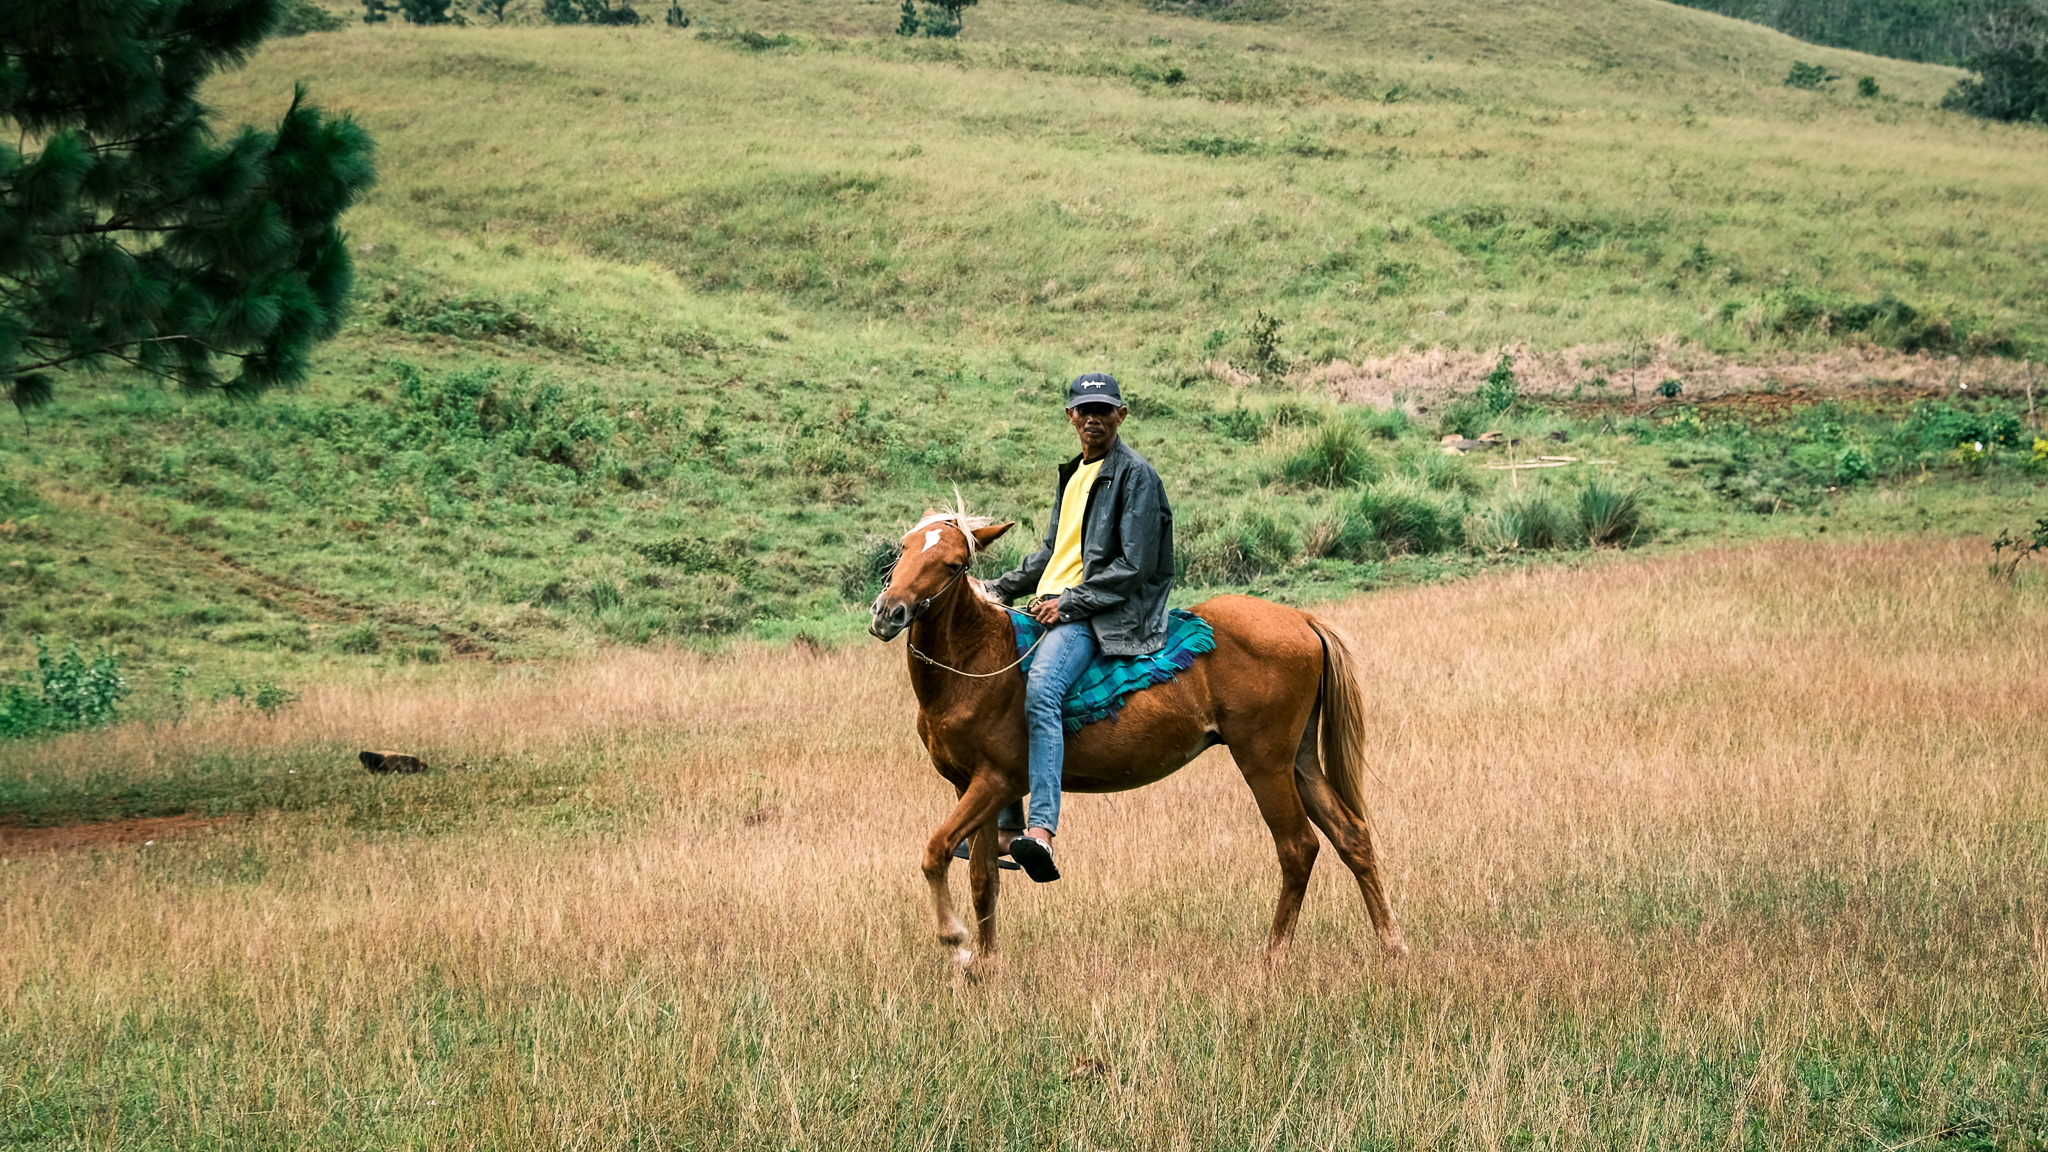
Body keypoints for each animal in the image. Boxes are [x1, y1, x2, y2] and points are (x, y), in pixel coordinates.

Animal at [864, 506, 1409, 963]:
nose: (888, 612)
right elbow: (982, 879)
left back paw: (1273, 956)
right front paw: (984, 966)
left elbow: (936, 851)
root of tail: (1303, 618)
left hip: (1264, 761)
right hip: (1299, 760)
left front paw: (954, 939)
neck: (977, 661)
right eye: (904, 548)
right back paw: (1392, 946)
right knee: (1351, 837)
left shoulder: (996, 781)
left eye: (954, 564)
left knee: (1298, 847)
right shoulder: (968, 787)